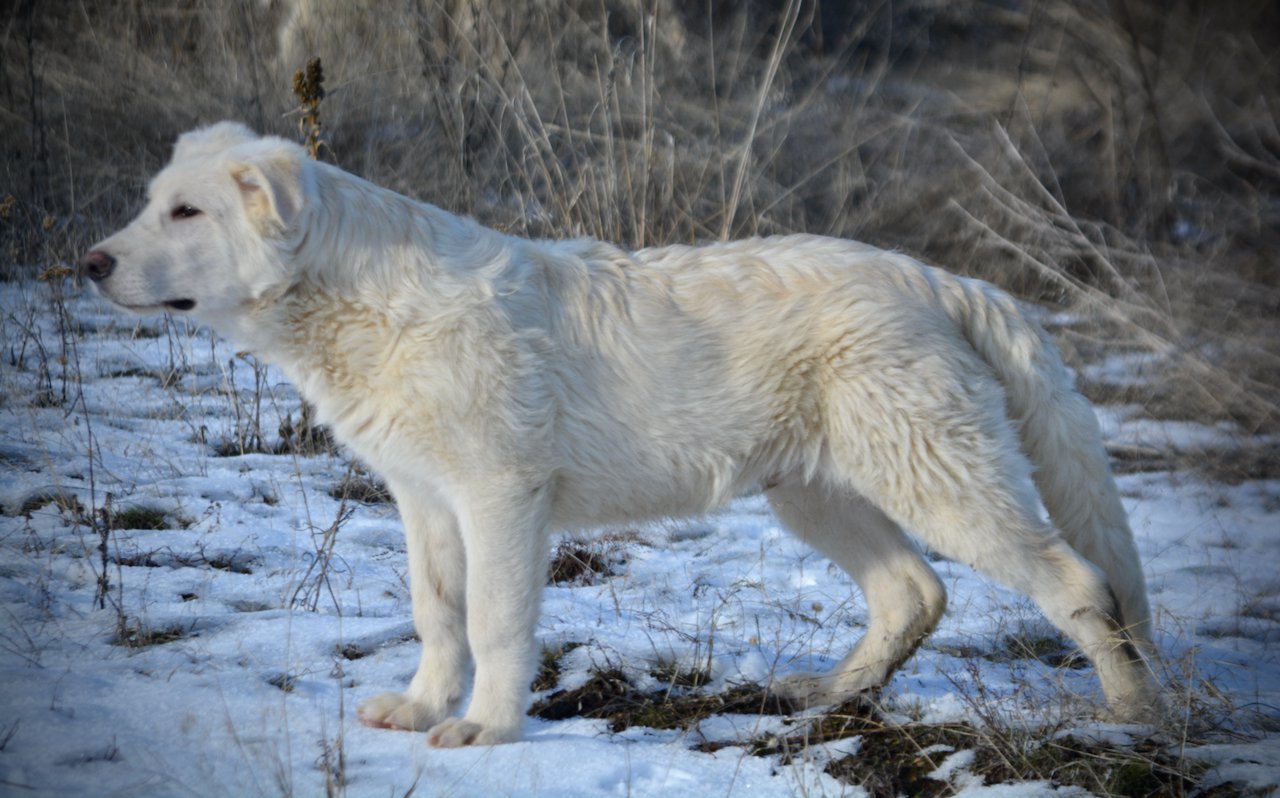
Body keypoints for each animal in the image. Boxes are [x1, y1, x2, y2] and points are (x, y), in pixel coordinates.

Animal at [80, 121, 1162, 748]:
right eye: (151, 203)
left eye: (187, 211)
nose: (89, 263)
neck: (360, 303)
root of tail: (940, 278)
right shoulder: (424, 499)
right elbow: (438, 616)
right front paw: (425, 709)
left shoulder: (501, 498)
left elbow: (495, 621)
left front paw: (484, 732)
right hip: (817, 493)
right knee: (913, 592)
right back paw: (828, 699)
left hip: (936, 480)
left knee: (1078, 584)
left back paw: (1125, 719)